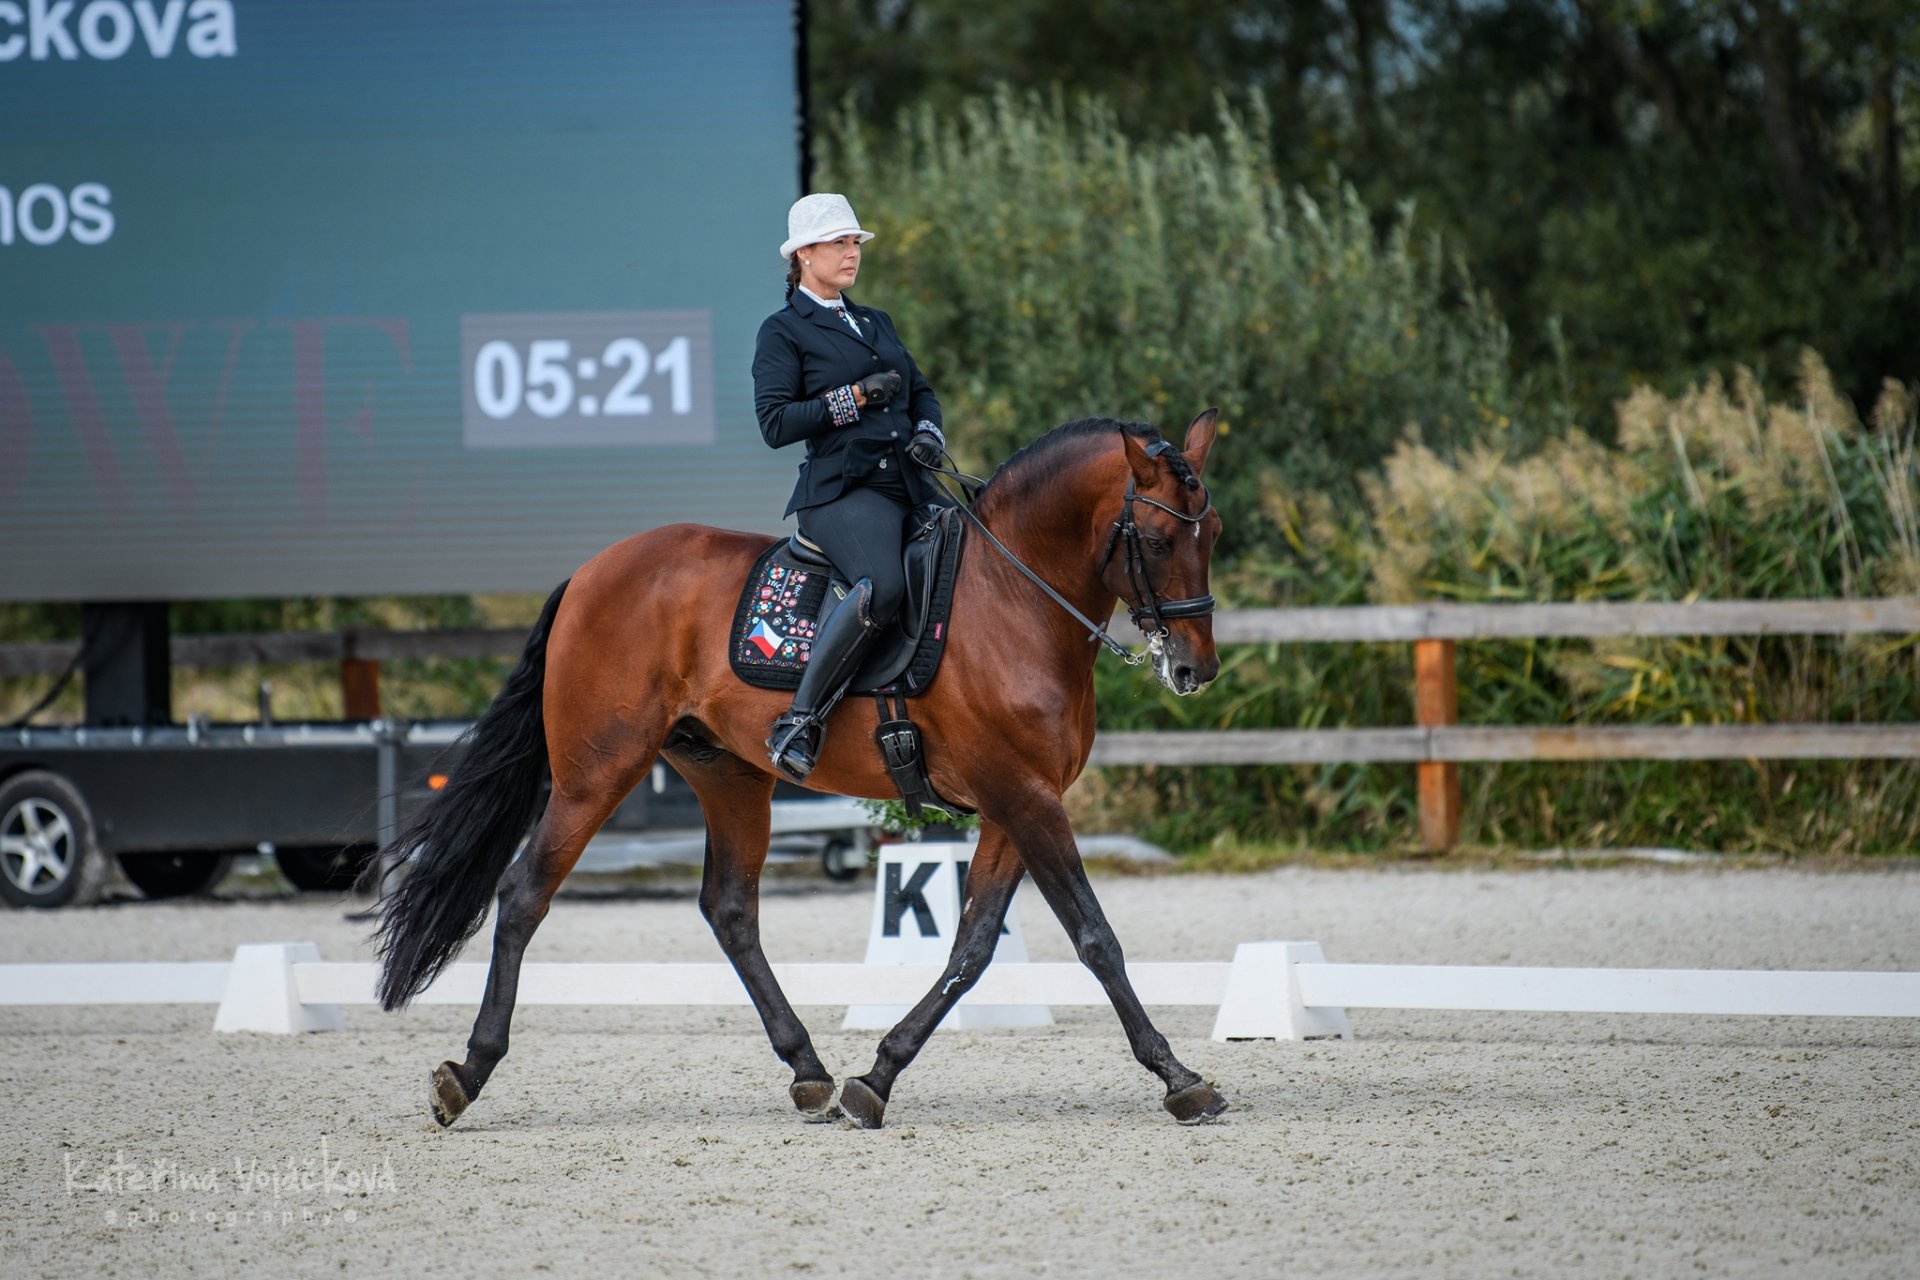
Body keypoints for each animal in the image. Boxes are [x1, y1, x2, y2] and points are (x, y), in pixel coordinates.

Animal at [366, 404, 1221, 1128]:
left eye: (1209, 532)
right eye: (1154, 540)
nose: (1195, 670)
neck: (1014, 597)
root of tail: (589, 573)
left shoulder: (1018, 803)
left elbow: (973, 946)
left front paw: (877, 1077)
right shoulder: (1024, 797)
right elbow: (1094, 937)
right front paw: (1180, 1079)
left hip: (729, 775)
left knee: (730, 910)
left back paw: (808, 1068)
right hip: (595, 771)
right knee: (524, 894)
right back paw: (467, 1074)